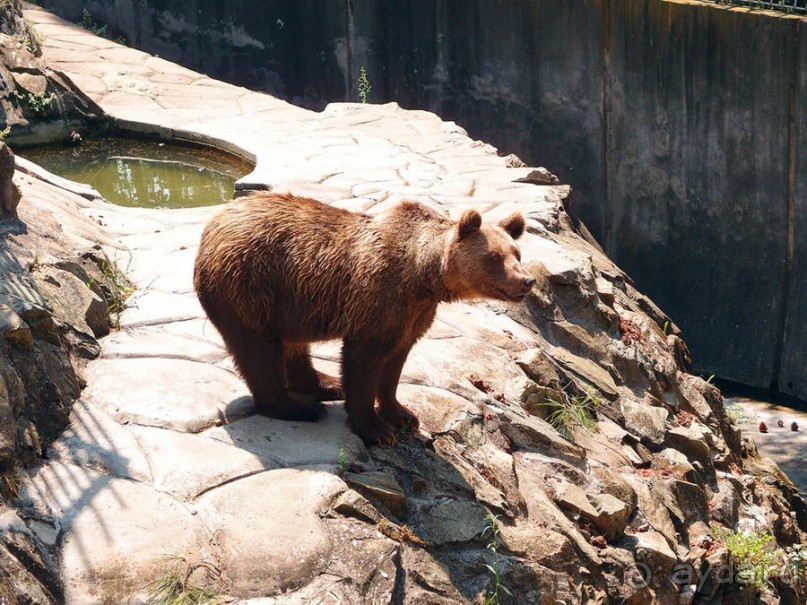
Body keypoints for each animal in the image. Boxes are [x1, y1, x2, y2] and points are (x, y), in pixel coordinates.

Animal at [193, 192, 536, 444]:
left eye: (517, 253)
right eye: (493, 257)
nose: (527, 280)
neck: (424, 277)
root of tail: (214, 222)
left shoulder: (413, 313)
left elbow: (396, 361)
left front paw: (403, 415)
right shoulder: (378, 298)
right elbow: (365, 360)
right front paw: (376, 429)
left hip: (285, 300)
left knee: (292, 344)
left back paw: (326, 385)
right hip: (248, 285)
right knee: (258, 349)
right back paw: (298, 407)